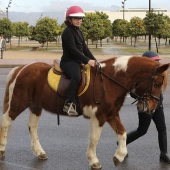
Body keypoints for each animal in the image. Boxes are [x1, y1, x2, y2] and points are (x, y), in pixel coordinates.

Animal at [0, 55, 169, 169]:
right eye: (157, 83)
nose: (153, 107)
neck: (110, 80)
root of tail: (21, 69)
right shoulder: (98, 116)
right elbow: (94, 138)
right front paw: (94, 161)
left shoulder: (111, 114)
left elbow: (123, 133)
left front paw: (119, 156)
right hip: (18, 103)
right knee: (6, 121)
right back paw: (2, 149)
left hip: (36, 106)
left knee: (32, 126)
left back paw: (40, 152)